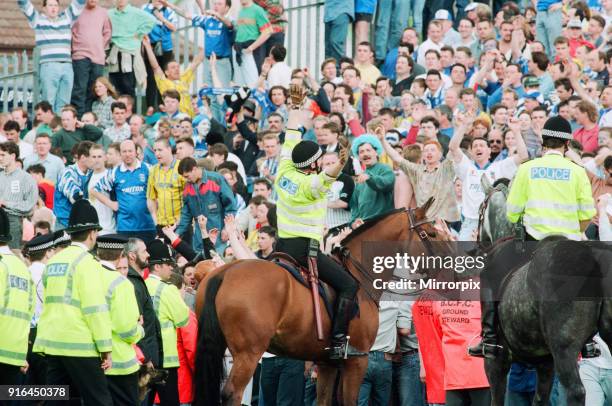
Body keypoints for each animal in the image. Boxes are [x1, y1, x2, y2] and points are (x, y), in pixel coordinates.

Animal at [194, 198, 442, 404]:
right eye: (431, 234)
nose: (447, 263)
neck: (359, 276)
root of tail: (224, 273)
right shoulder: (357, 361)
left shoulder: (326, 364)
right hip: (248, 353)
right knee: (232, 393)